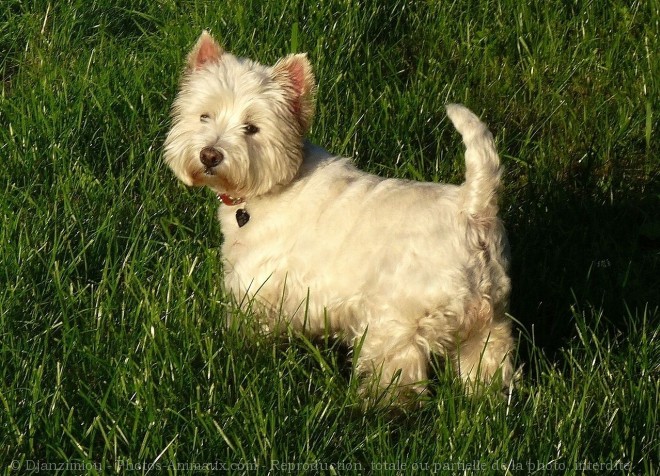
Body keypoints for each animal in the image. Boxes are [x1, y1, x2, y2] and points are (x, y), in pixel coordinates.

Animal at [165, 30, 516, 402]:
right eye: (204, 116)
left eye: (251, 128)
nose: (210, 155)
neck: (274, 186)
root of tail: (473, 205)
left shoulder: (258, 289)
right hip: (489, 324)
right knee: (487, 366)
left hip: (394, 323)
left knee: (398, 379)